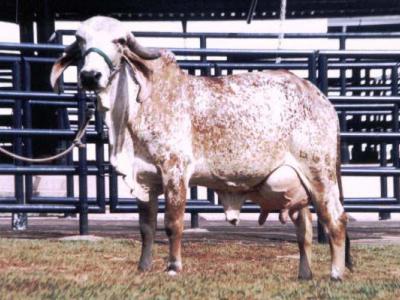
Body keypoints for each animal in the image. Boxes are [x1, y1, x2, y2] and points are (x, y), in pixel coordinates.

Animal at [50, 15, 354, 278]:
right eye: (80, 39)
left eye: (119, 41)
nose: (90, 75)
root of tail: (320, 98)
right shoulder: (145, 179)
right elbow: (146, 228)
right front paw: (143, 267)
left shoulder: (175, 170)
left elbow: (172, 224)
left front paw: (173, 267)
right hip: (298, 184)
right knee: (305, 228)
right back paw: (304, 274)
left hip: (320, 174)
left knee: (336, 219)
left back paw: (336, 273)